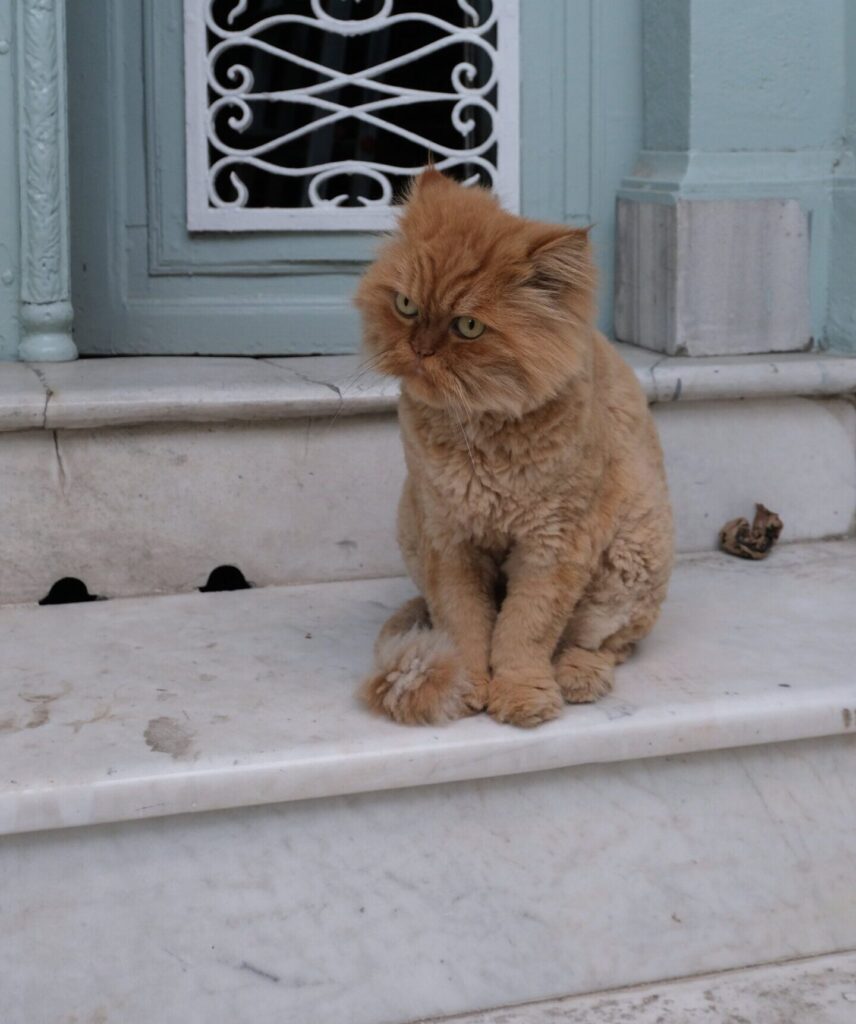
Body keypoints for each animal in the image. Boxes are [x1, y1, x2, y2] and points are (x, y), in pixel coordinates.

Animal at [354, 169, 675, 729]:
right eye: (406, 306)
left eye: (468, 326)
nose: (420, 350)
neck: (479, 432)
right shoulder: (449, 541)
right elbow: (465, 625)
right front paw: (466, 687)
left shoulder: (553, 546)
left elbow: (525, 631)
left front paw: (522, 695)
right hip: (410, 527)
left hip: (632, 557)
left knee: (604, 644)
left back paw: (579, 676)